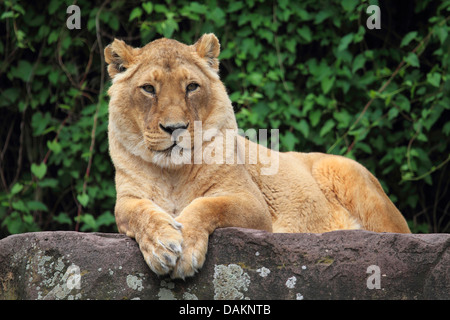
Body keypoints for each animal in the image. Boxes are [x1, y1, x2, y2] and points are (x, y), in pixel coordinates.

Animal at [103, 33, 410, 278]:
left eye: (191, 87)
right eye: (148, 89)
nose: (175, 128)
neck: (172, 173)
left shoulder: (252, 204)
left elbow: (207, 205)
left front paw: (186, 246)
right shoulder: (128, 199)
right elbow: (137, 213)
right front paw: (161, 244)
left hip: (347, 175)